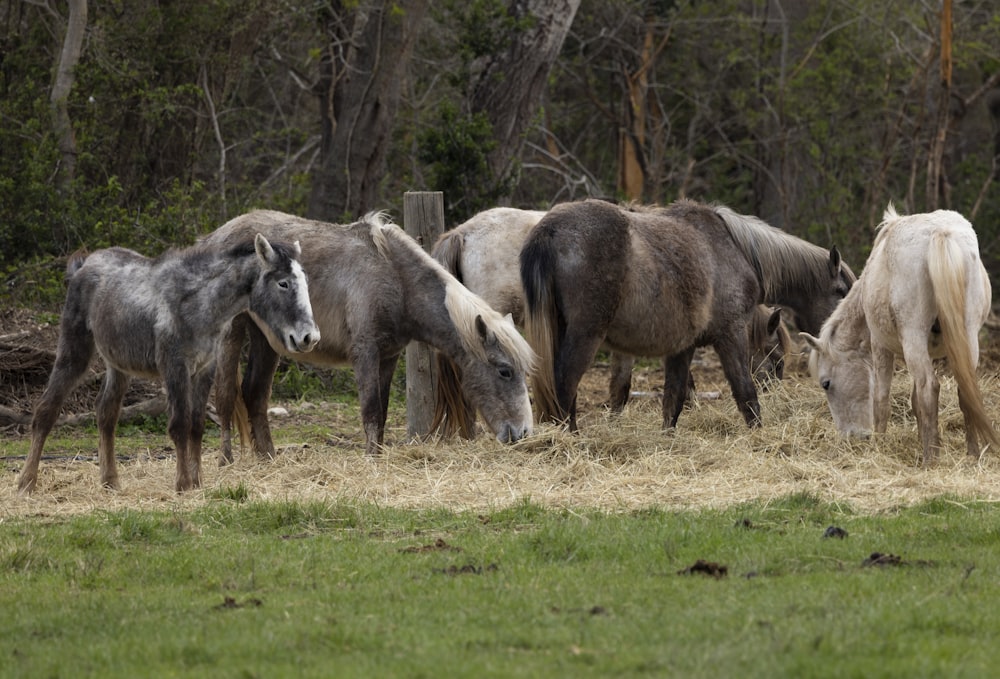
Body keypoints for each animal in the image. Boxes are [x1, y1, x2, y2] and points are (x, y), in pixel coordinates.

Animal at [17, 234, 318, 494]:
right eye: (283, 283)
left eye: (304, 281)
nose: (309, 337)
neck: (201, 305)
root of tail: (84, 266)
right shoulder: (175, 366)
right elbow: (179, 424)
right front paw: (183, 483)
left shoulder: (204, 369)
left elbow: (196, 425)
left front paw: (197, 481)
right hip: (74, 351)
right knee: (45, 410)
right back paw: (26, 482)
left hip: (118, 365)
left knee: (105, 413)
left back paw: (110, 481)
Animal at [202, 210, 540, 460]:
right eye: (505, 371)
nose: (523, 432)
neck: (396, 278)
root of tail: (214, 237)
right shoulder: (365, 352)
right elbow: (370, 410)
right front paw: (370, 460)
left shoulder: (388, 356)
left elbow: (383, 411)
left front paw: (376, 455)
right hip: (232, 333)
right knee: (226, 397)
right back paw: (227, 460)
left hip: (267, 339)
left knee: (255, 395)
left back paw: (268, 459)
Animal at [520, 198, 856, 430]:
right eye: (842, 292)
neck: (734, 250)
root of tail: (549, 229)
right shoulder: (731, 336)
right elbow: (745, 392)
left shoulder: (683, 347)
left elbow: (674, 399)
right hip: (585, 335)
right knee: (564, 385)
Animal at [800, 205, 996, 464]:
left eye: (826, 384)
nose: (850, 438)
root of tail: (941, 233)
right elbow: (915, 401)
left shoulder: (880, 347)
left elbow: (882, 399)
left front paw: (879, 446)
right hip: (966, 337)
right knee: (965, 390)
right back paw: (971, 454)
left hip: (914, 338)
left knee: (929, 388)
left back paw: (930, 460)